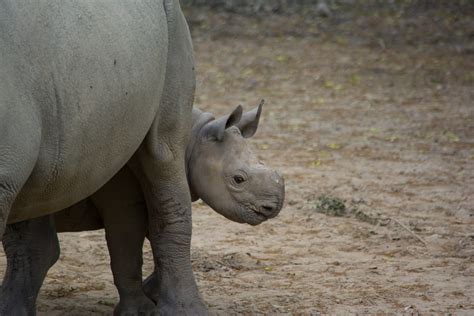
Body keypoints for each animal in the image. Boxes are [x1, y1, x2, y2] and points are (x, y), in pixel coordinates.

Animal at [53, 102, 284, 314]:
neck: (194, 141)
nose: (273, 208)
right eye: (238, 179)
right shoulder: (119, 194)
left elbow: (159, 235)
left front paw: (153, 293)